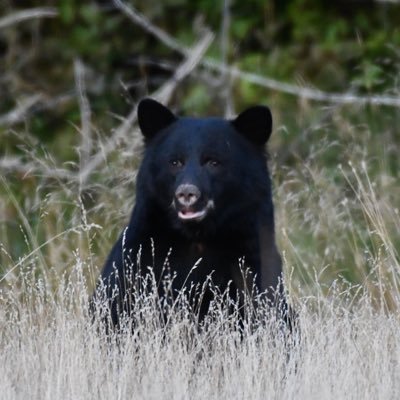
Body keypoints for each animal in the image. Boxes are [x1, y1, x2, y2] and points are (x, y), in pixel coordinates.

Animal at [96, 99, 290, 328]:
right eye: (174, 162)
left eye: (213, 162)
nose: (186, 193)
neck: (197, 237)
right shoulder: (137, 264)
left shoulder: (251, 261)